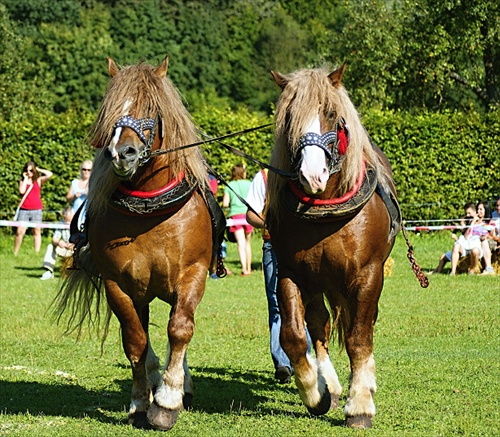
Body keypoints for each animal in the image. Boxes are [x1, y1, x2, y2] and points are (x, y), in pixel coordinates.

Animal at [52, 57, 223, 430]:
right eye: (112, 109)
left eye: (151, 108)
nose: (122, 153)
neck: (150, 209)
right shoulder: (119, 285)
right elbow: (135, 341)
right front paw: (141, 401)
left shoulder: (192, 275)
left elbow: (180, 329)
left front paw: (168, 400)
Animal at [268, 63, 400, 428]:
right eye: (289, 116)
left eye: (330, 113)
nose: (311, 175)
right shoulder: (291, 273)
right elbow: (294, 336)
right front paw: (316, 394)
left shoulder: (368, 275)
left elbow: (359, 337)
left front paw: (360, 404)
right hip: (318, 282)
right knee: (318, 324)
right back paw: (332, 383)